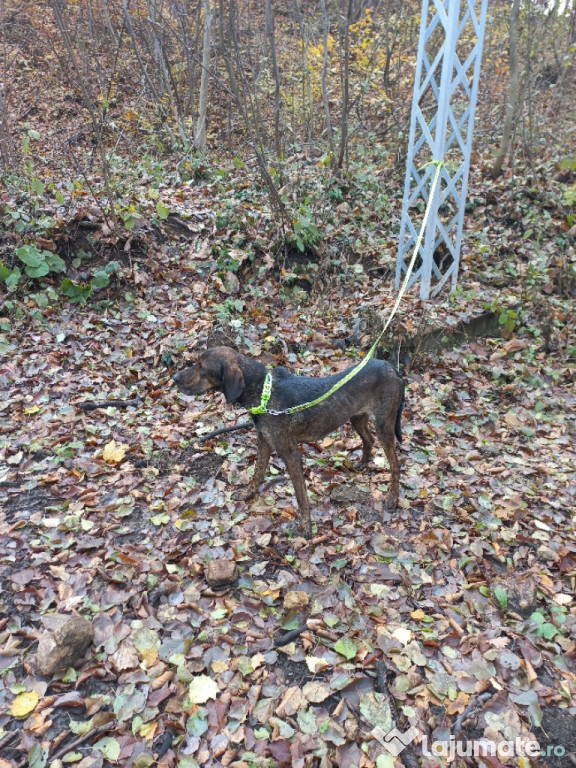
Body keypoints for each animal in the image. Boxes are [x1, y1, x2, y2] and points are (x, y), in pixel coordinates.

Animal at [173, 344, 402, 536]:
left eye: (201, 367)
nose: (174, 378)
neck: (263, 392)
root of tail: (392, 368)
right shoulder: (264, 441)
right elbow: (257, 472)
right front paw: (247, 494)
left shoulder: (290, 453)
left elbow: (301, 496)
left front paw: (306, 527)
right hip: (357, 417)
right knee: (369, 439)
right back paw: (363, 463)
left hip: (384, 425)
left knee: (396, 464)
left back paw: (392, 498)